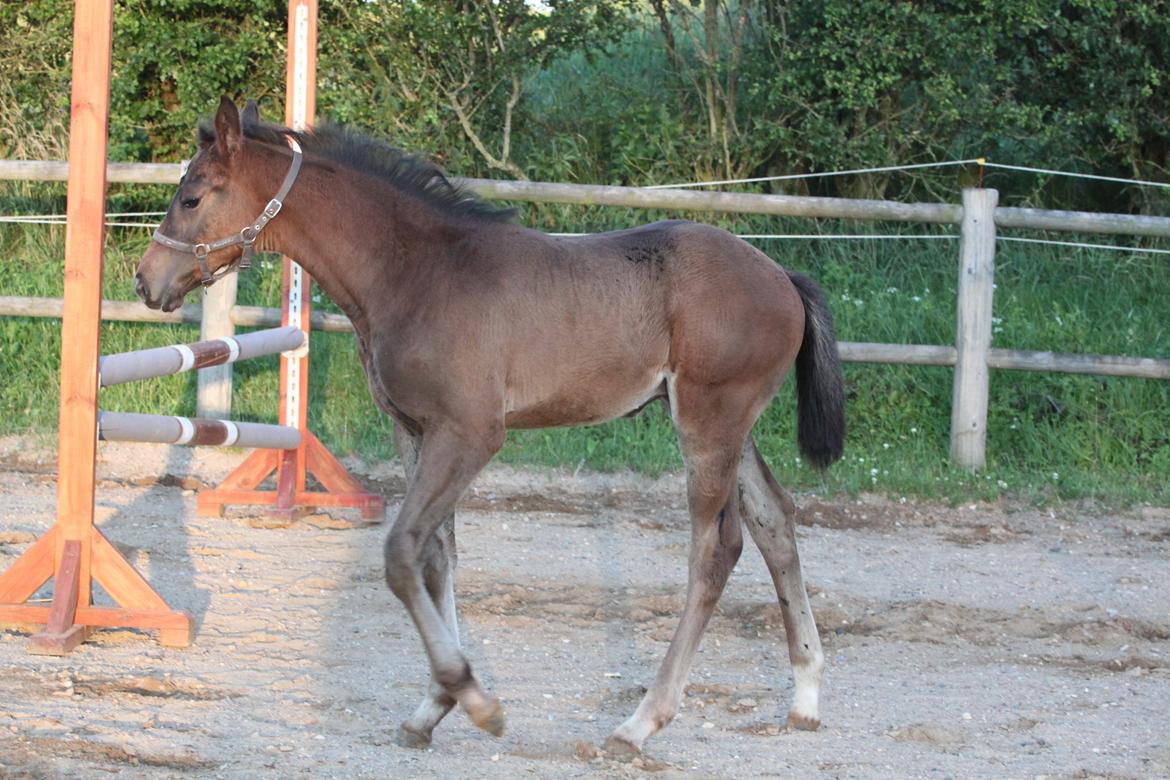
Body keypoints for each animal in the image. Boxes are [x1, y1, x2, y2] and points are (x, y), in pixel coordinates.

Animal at [136, 99, 847, 757]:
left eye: (192, 195)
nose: (147, 281)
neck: (415, 271)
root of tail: (782, 276)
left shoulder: (472, 432)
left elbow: (400, 553)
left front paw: (474, 700)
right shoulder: (415, 430)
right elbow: (435, 556)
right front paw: (432, 708)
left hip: (708, 418)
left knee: (715, 549)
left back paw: (639, 723)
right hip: (735, 425)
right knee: (774, 519)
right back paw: (806, 697)